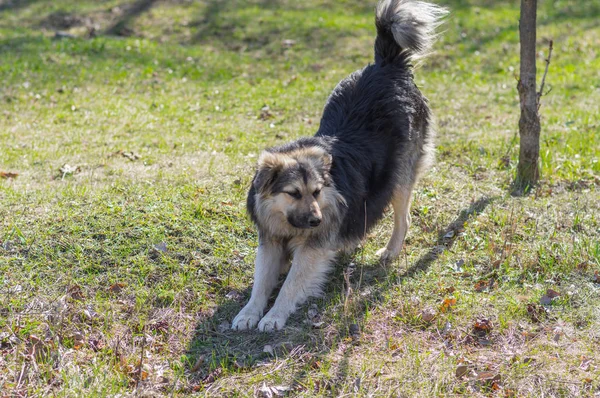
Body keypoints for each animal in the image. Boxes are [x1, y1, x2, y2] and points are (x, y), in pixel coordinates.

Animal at [232, 0, 448, 332]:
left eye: (317, 191)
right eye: (294, 193)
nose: (317, 221)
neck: (288, 221)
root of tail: (387, 64)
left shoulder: (313, 247)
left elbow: (290, 284)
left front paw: (274, 315)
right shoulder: (270, 240)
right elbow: (260, 282)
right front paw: (249, 312)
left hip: (399, 177)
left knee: (404, 218)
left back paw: (390, 250)